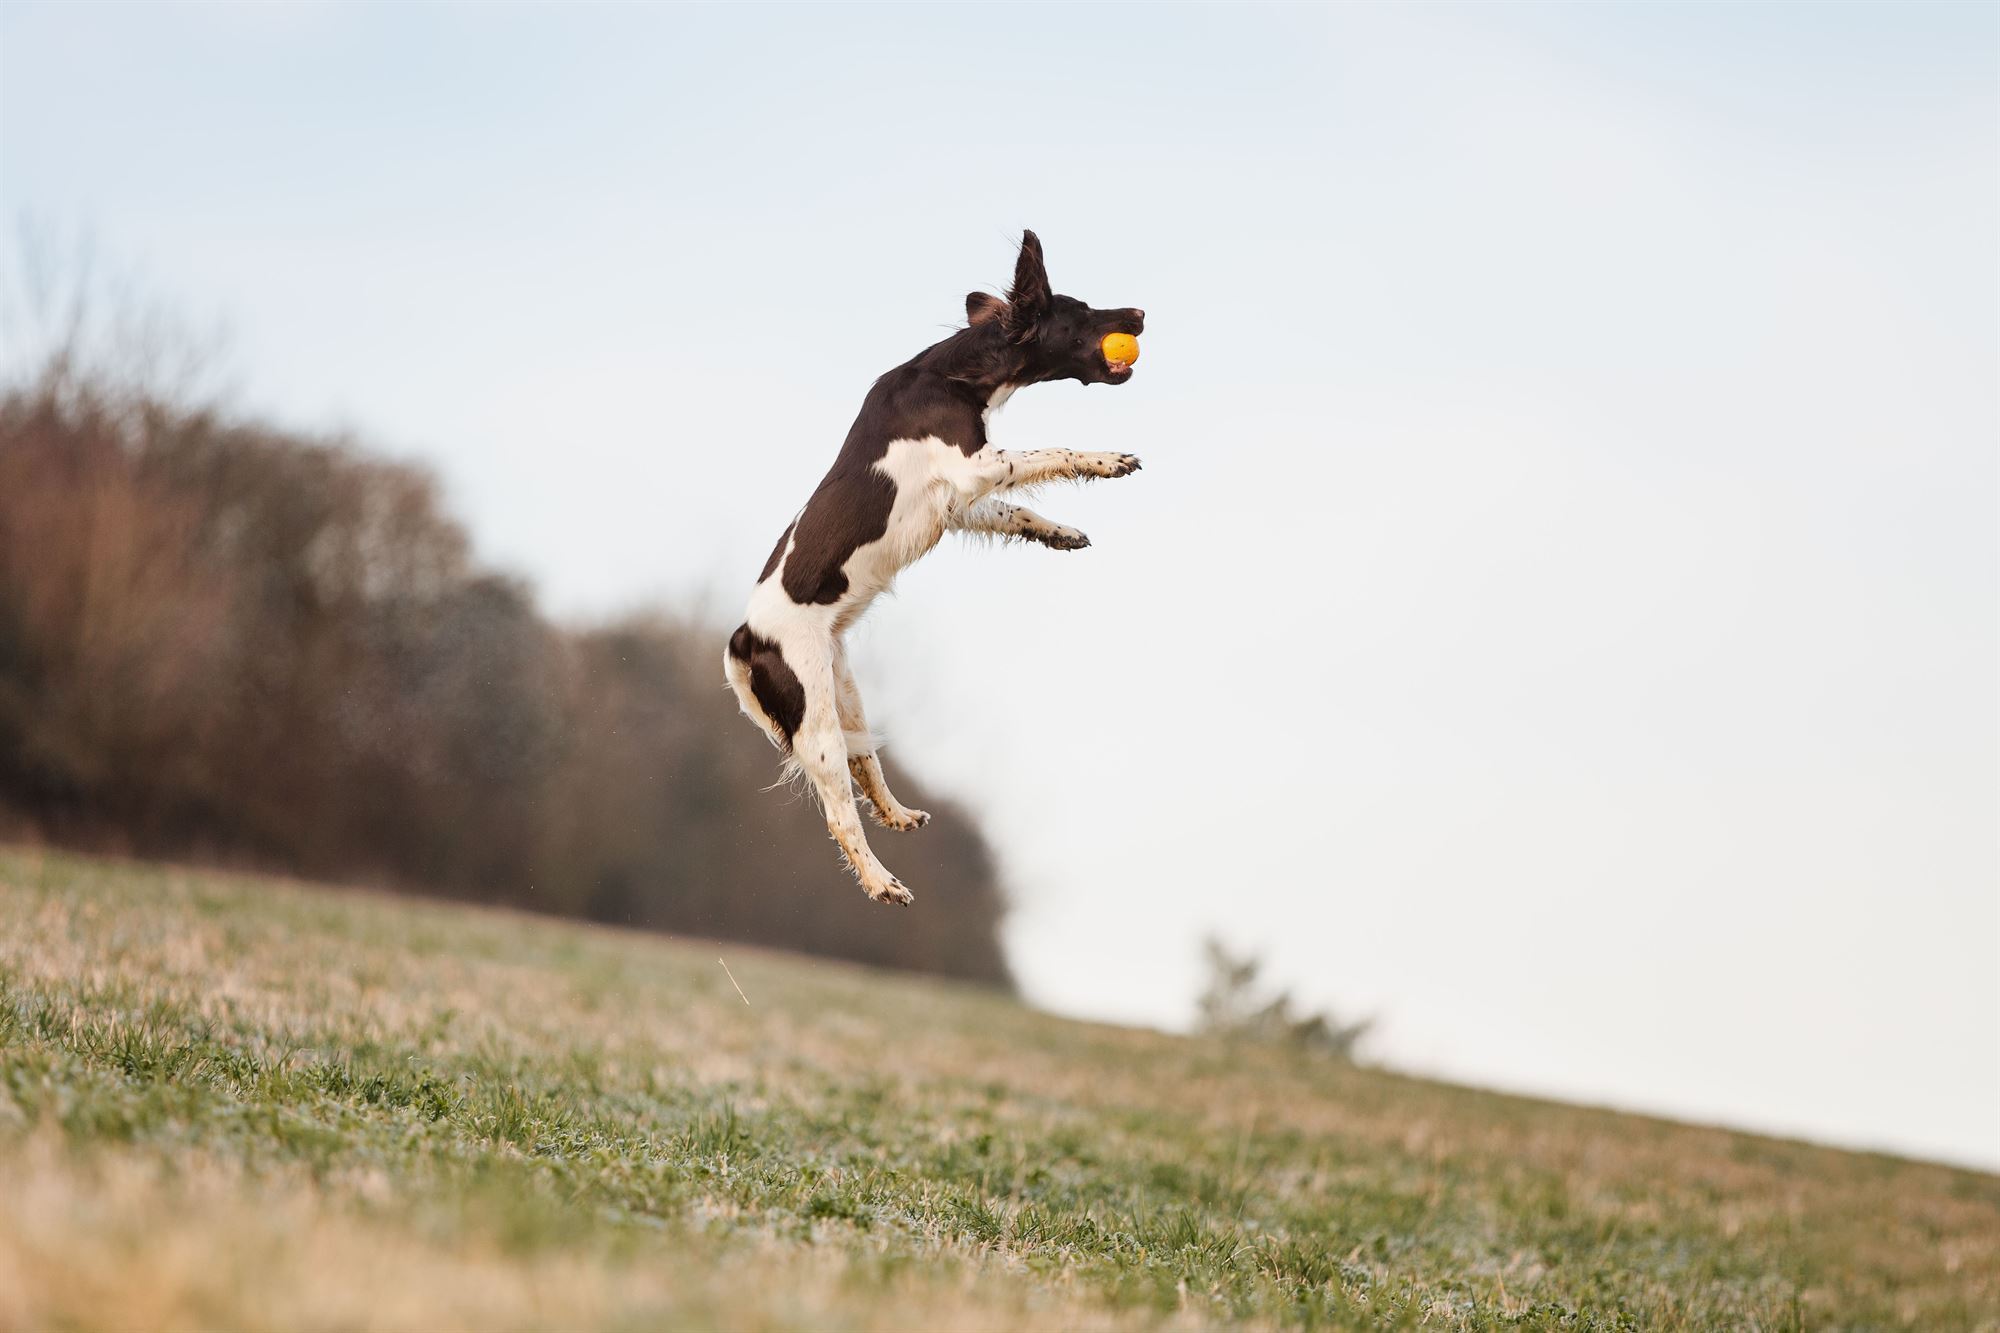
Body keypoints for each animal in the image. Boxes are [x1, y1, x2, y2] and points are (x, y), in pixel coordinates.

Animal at [728, 233, 1152, 908]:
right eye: (1082, 311)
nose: (1140, 315)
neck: (956, 373)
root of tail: (744, 639)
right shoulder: (973, 465)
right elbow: (1052, 451)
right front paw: (1109, 459)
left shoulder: (959, 501)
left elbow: (1017, 509)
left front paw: (1062, 533)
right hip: (813, 719)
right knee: (839, 812)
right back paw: (882, 883)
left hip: (844, 691)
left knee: (867, 763)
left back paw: (901, 814)